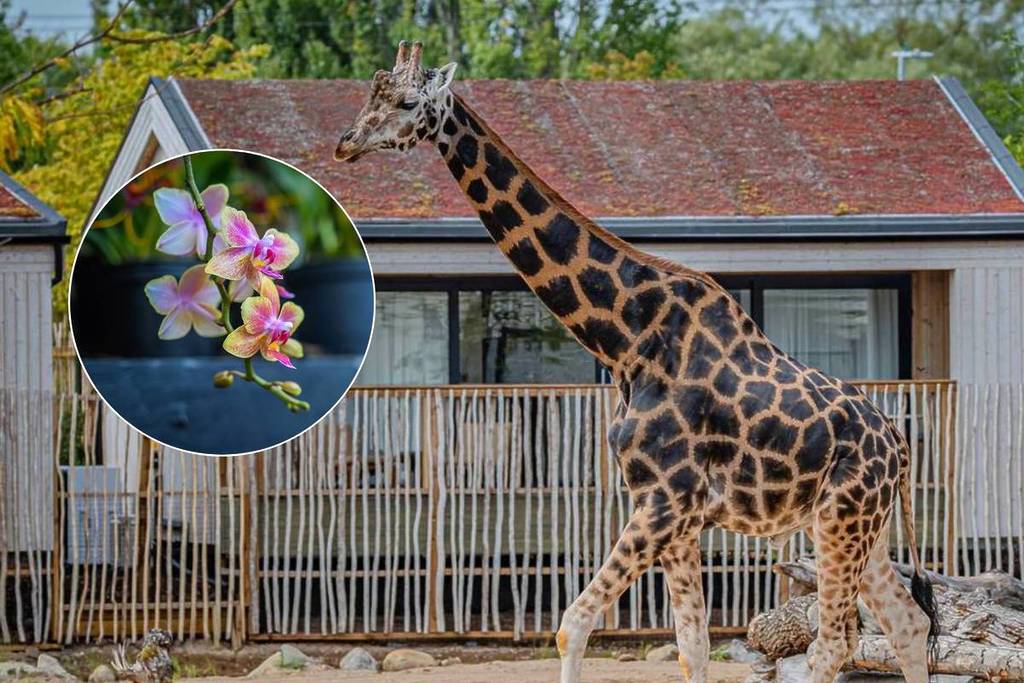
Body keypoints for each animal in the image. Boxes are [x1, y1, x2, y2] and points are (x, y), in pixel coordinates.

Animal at [334, 41, 940, 683]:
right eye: (371, 92)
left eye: (407, 102)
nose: (345, 142)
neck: (625, 340)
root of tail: (900, 446)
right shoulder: (676, 513)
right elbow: (691, 644)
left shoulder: (664, 501)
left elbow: (572, 624)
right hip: (861, 526)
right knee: (907, 624)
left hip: (842, 517)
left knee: (834, 642)